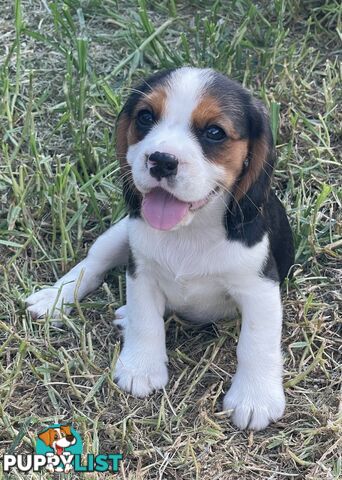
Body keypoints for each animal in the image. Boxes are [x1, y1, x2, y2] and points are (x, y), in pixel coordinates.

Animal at [26, 66, 294, 432]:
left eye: (214, 132)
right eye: (145, 117)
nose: (161, 160)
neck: (190, 231)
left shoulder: (260, 287)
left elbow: (257, 343)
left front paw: (255, 398)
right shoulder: (141, 271)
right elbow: (146, 321)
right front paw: (141, 367)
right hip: (121, 233)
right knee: (93, 263)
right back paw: (54, 298)